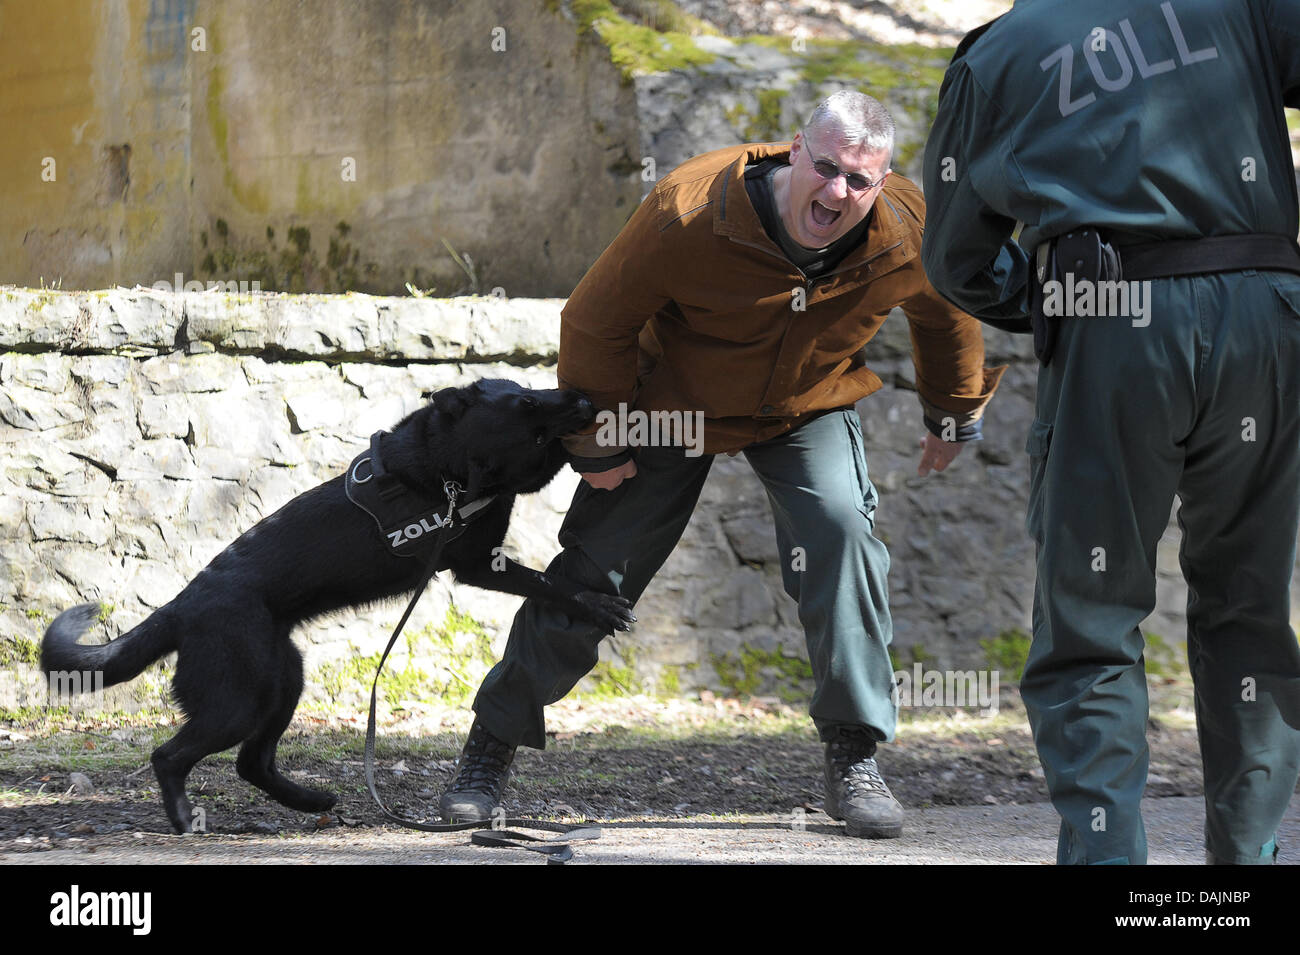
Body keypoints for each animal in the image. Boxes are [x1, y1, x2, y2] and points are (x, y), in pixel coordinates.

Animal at [38, 376, 631, 831]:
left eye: (530, 391)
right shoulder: (481, 563)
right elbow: (549, 579)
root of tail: (181, 607)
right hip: (237, 702)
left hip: (283, 681)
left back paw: (310, 802)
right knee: (171, 756)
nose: (583, 398)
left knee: (252, 762)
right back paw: (186, 819)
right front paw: (597, 604)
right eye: (528, 407)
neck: (445, 470)